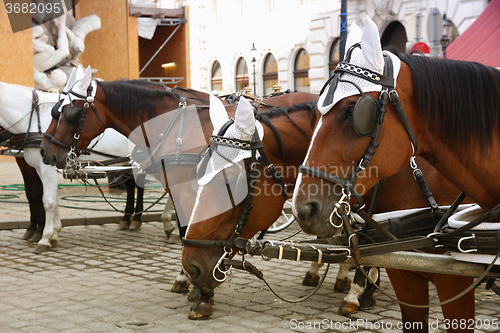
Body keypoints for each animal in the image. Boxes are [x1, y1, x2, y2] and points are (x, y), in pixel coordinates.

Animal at [292, 16, 496, 330]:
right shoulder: (402, 271)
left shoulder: (453, 281)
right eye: (314, 115)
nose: (303, 208)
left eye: (353, 112)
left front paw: (355, 293)